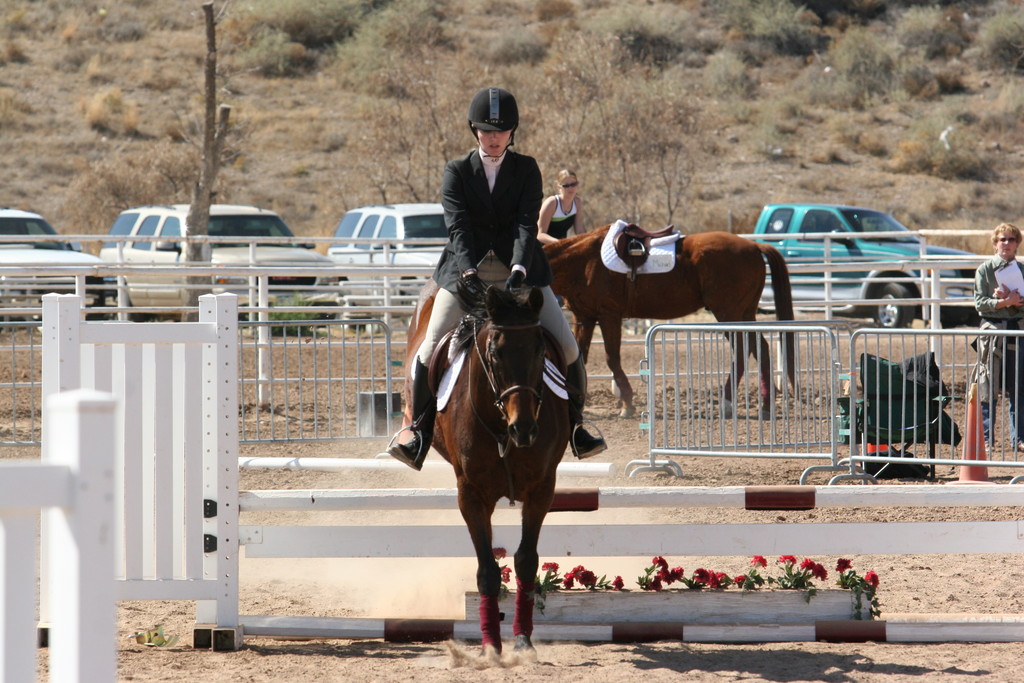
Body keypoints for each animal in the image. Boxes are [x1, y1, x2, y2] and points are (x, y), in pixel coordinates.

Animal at [399, 278, 569, 655]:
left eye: (540, 351)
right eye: (495, 353)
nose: (524, 429)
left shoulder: (541, 489)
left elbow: (526, 561)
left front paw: (522, 640)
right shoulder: (472, 495)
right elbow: (488, 570)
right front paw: (491, 645)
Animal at [544, 225, 798, 417]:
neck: (584, 261)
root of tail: (754, 246)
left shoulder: (609, 316)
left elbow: (612, 359)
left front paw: (627, 404)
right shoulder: (584, 318)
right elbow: (579, 357)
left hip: (729, 314)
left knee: (743, 352)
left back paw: (727, 403)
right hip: (745, 313)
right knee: (760, 348)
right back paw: (765, 406)